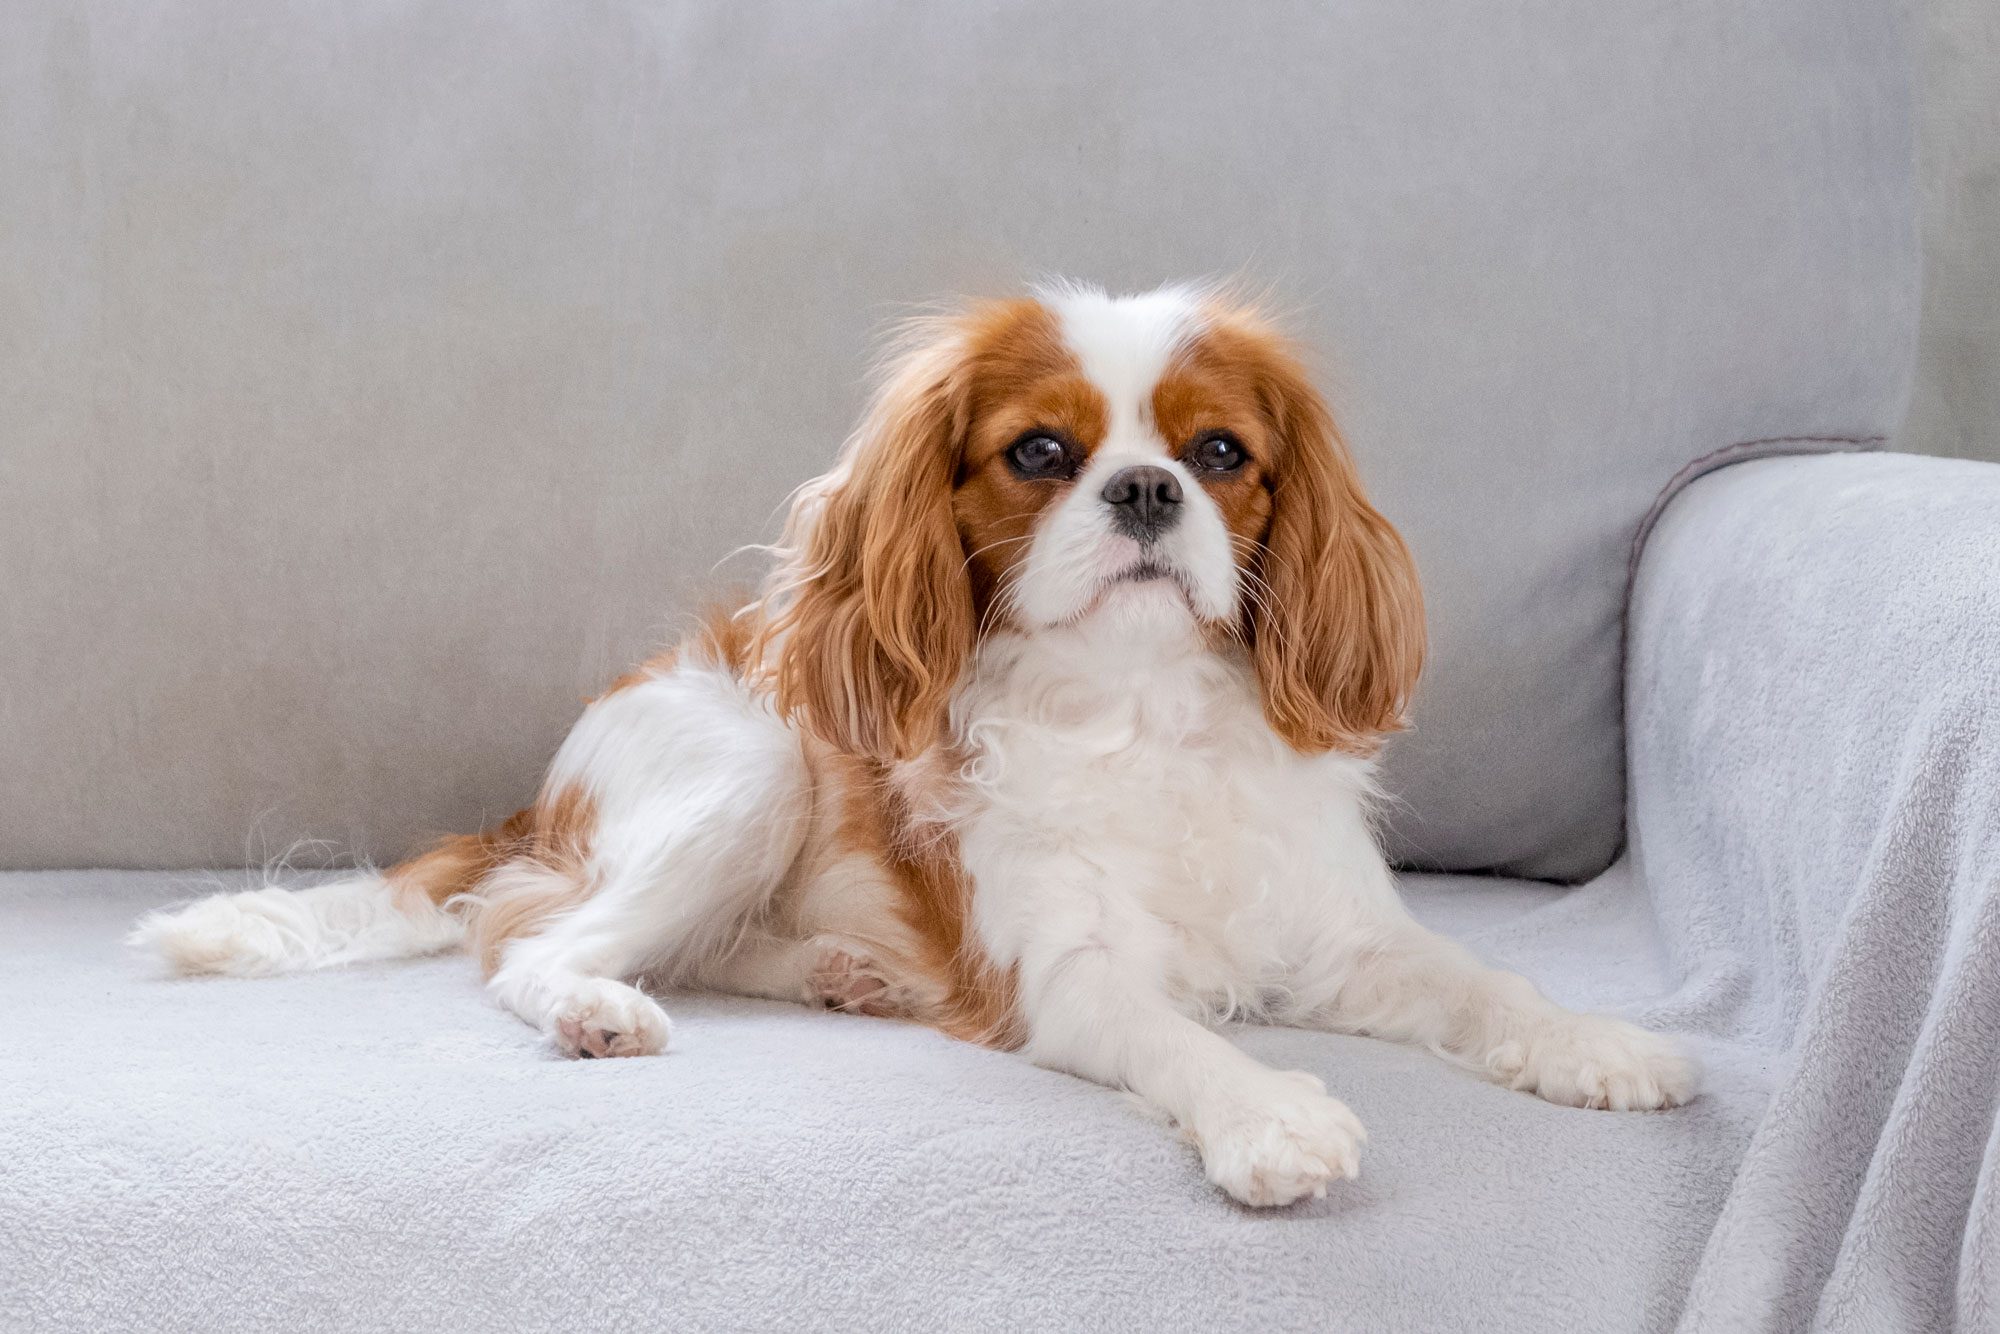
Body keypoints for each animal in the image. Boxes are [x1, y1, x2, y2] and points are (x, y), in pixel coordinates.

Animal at [129, 284, 1688, 1208]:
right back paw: (598, 1007)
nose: (1144, 488)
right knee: (525, 943)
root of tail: (537, 796)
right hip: (751, 765)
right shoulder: (1068, 981)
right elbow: (1180, 1038)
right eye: (1041, 453)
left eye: (1221, 455)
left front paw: (1598, 1040)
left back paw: (837, 969)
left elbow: (1483, 980)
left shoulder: (1351, 940)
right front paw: (1270, 1114)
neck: (1140, 708)